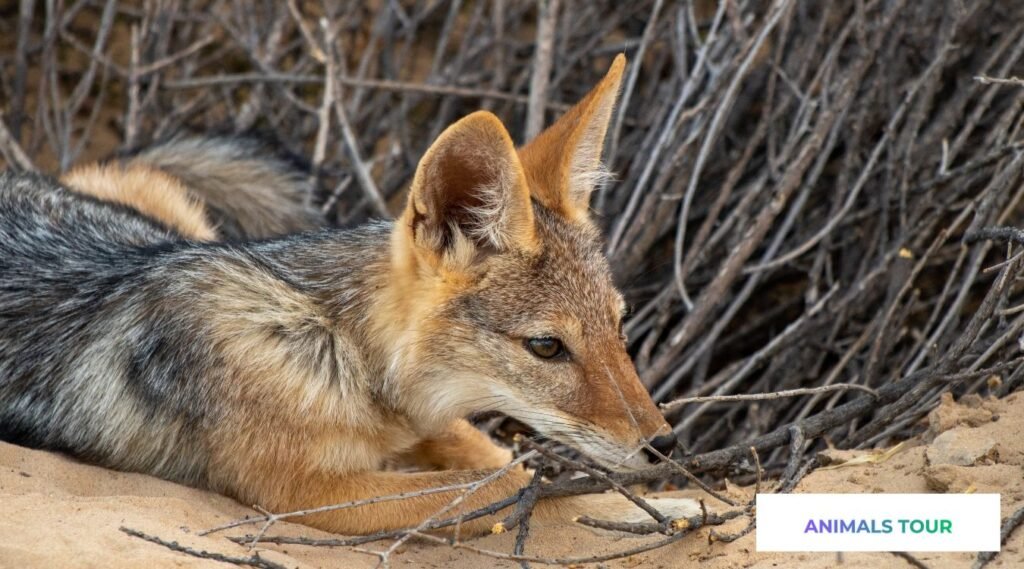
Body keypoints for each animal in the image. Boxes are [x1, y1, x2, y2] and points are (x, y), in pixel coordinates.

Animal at [0, 55, 699, 536]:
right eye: (547, 347)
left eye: (619, 329)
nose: (663, 445)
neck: (337, 346)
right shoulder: (309, 492)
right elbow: (502, 488)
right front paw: (663, 506)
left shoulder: (425, 428)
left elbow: (504, 463)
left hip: (175, 215)